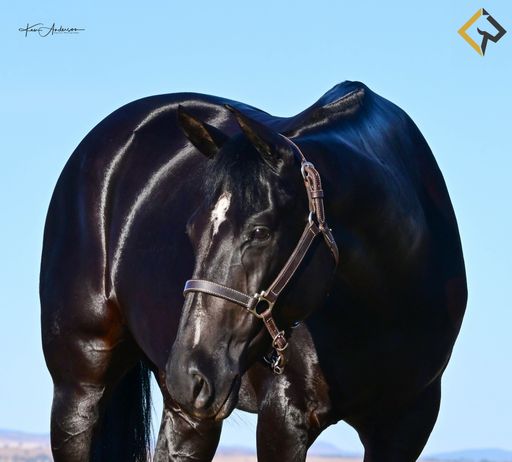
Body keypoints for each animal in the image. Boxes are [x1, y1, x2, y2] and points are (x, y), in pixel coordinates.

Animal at [40, 80, 467, 462]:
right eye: (191, 230)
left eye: (260, 232)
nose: (189, 371)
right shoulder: (285, 418)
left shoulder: (406, 425)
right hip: (80, 386)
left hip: (188, 413)